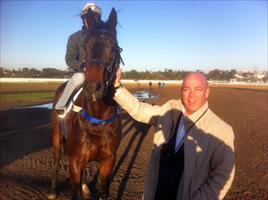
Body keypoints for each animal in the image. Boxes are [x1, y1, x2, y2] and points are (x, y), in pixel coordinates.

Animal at [49, 7, 122, 198]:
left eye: (113, 46)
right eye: (84, 46)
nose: (93, 86)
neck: (98, 119)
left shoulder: (108, 160)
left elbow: (104, 191)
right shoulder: (75, 161)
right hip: (57, 136)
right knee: (57, 157)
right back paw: (52, 189)